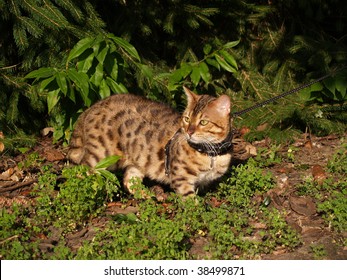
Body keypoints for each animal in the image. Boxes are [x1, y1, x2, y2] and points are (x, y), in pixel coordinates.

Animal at [67, 87, 250, 197]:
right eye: (187, 119)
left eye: (203, 122)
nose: (189, 131)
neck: (211, 153)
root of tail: (92, 107)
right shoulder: (181, 178)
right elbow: (190, 200)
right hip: (100, 155)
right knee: (81, 171)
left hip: (137, 159)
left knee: (129, 180)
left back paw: (148, 196)